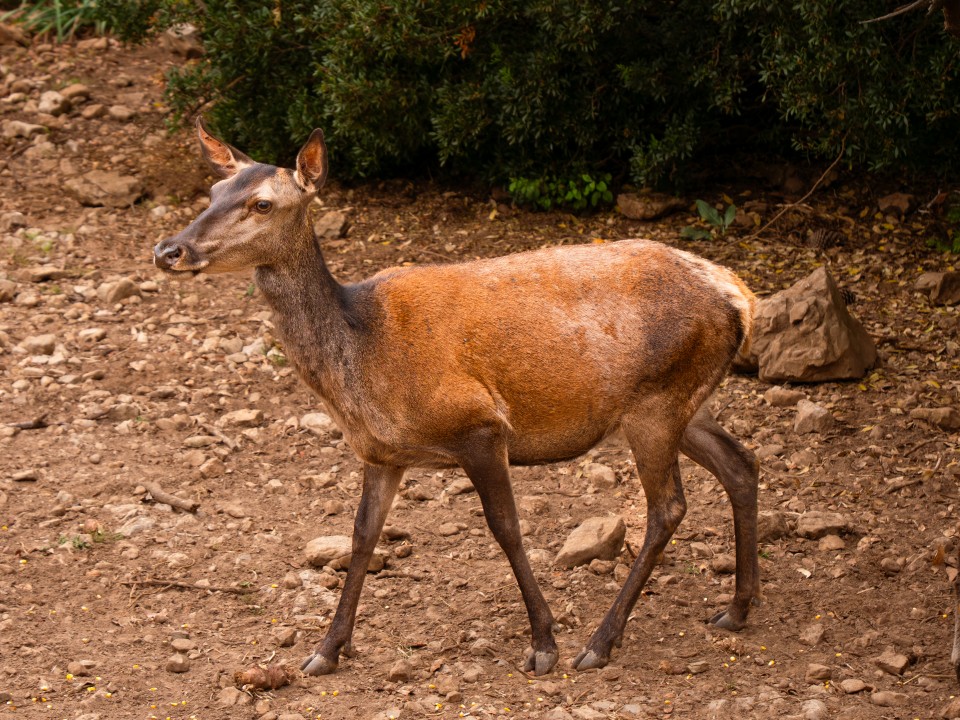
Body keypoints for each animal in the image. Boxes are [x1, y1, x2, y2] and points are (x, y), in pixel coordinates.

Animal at [153, 118, 761, 677]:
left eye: (261, 203)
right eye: (213, 191)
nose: (168, 250)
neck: (361, 354)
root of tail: (739, 295)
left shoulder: (479, 425)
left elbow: (506, 528)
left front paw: (543, 643)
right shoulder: (381, 453)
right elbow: (362, 536)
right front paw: (326, 649)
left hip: (656, 403)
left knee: (668, 508)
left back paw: (600, 642)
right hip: (683, 401)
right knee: (741, 462)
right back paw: (737, 608)